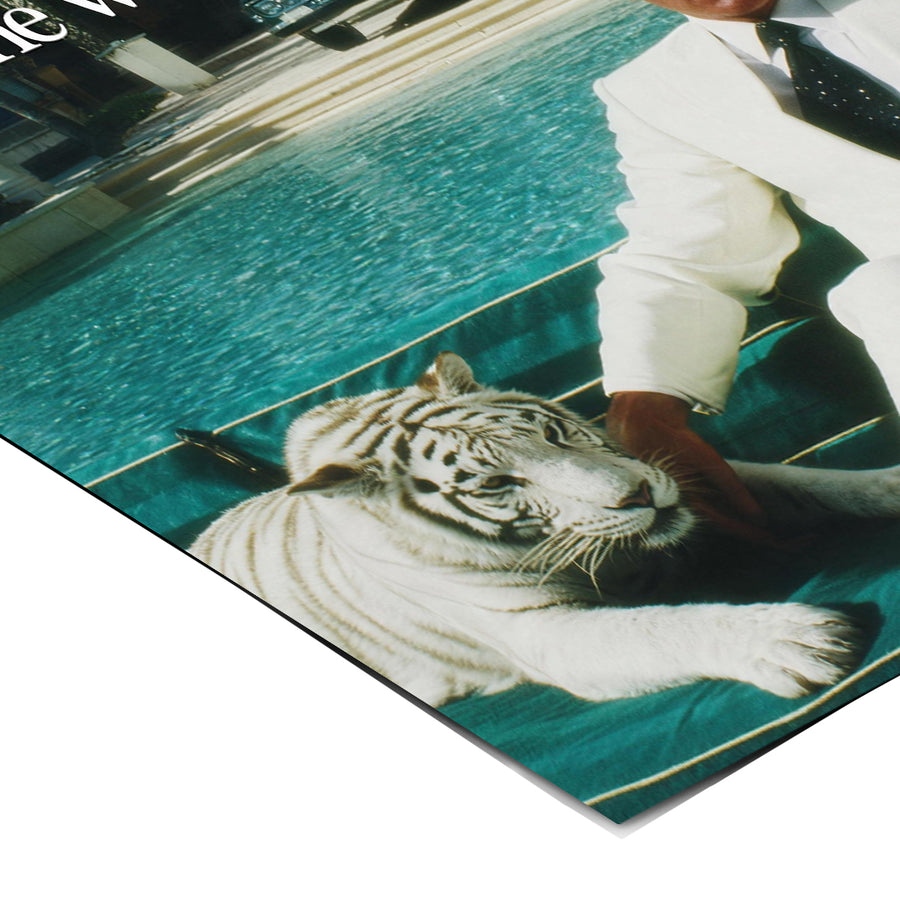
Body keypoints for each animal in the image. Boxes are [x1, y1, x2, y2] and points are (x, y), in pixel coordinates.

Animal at [191, 352, 900, 707]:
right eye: (496, 486)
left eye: (552, 434)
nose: (640, 494)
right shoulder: (541, 633)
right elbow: (664, 627)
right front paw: (796, 640)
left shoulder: (692, 478)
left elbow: (809, 481)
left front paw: (888, 484)